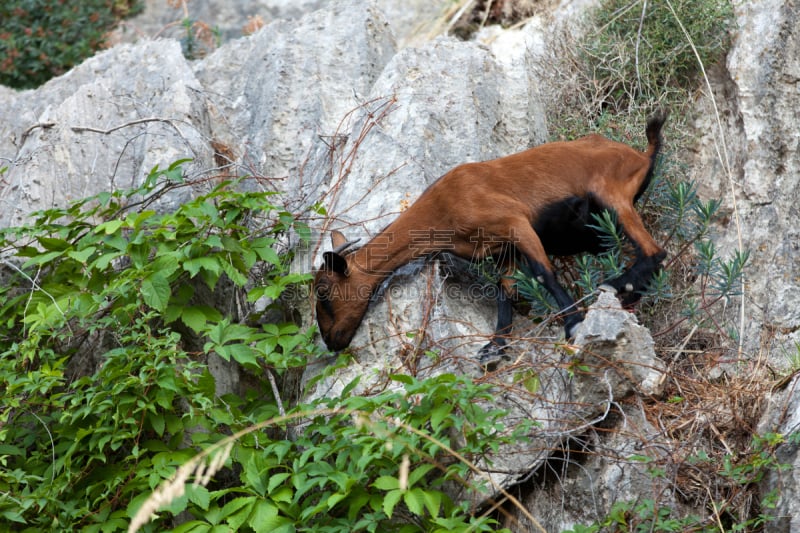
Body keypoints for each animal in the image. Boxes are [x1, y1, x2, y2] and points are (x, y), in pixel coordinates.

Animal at [312, 114, 668, 358]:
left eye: (324, 292)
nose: (331, 341)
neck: (442, 209)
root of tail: (642, 156)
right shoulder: (504, 250)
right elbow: (503, 291)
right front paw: (494, 348)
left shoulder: (515, 222)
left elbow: (543, 274)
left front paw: (573, 324)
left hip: (612, 197)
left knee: (654, 252)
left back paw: (616, 286)